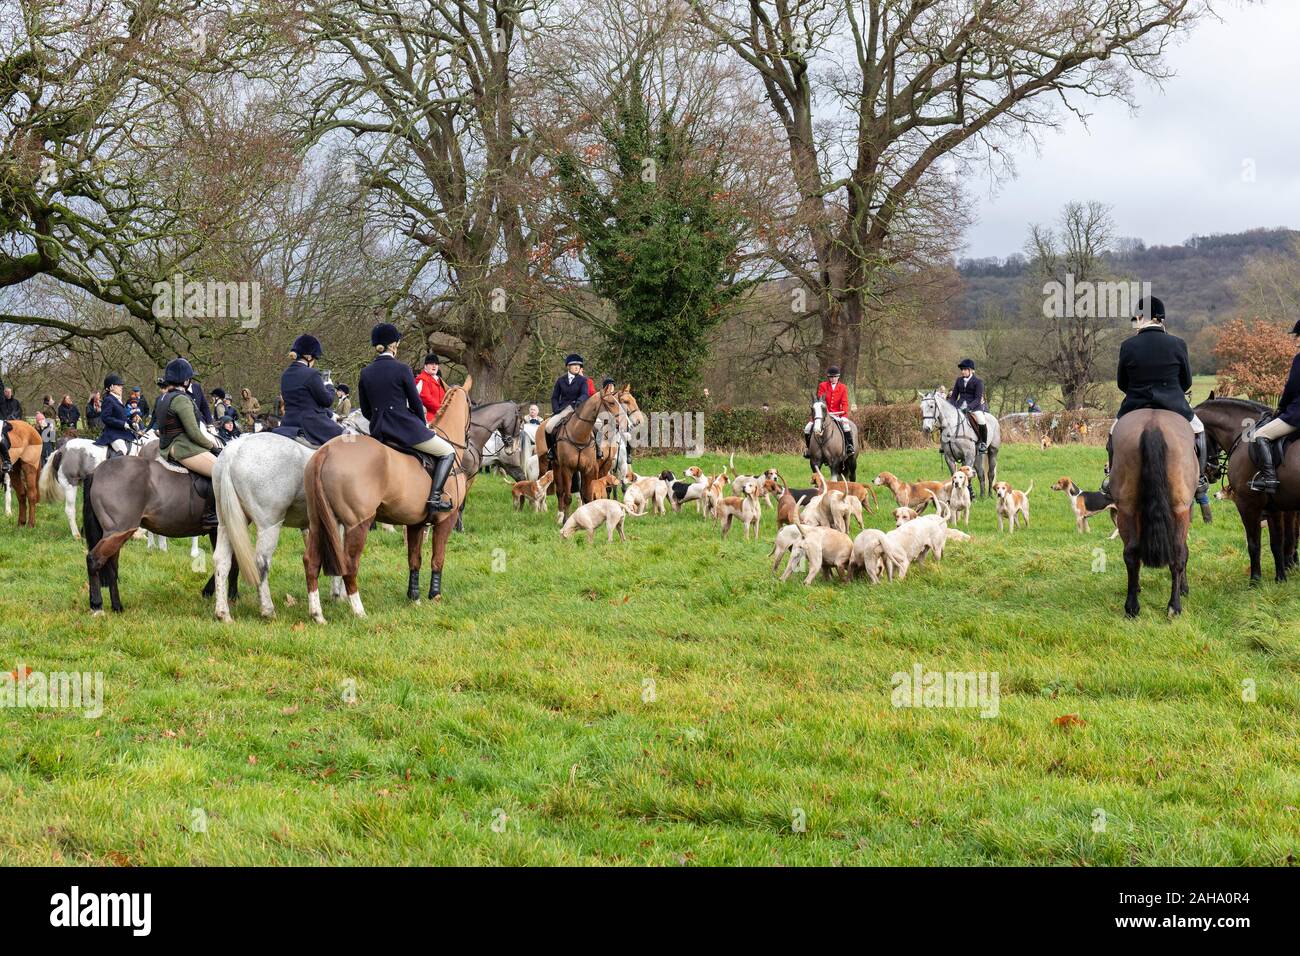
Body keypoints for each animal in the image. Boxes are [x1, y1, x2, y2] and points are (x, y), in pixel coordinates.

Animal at [81, 455, 244, 613]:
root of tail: (96, 471)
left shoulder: (216, 531)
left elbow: (224, 561)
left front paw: (211, 591)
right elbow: (233, 562)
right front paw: (232, 596)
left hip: (116, 535)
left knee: (111, 567)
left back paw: (117, 607)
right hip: (118, 531)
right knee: (94, 560)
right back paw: (97, 606)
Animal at [299, 374, 473, 621]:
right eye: (471, 405)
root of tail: (326, 451)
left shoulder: (415, 524)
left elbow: (414, 559)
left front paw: (414, 597)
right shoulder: (445, 521)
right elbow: (437, 558)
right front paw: (435, 596)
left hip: (318, 522)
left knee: (311, 562)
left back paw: (317, 615)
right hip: (358, 524)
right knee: (349, 565)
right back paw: (359, 611)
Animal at [533, 382, 624, 522]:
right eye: (611, 403)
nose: (623, 424)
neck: (579, 435)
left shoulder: (588, 469)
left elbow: (587, 494)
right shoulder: (567, 469)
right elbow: (568, 496)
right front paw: (566, 520)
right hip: (554, 465)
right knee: (559, 490)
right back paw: (558, 515)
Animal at [1107, 411, 1196, 621]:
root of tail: (1152, 426)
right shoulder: (1187, 509)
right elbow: (1185, 551)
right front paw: (1184, 588)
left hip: (1128, 509)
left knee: (1131, 554)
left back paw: (1132, 607)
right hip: (1180, 509)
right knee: (1178, 554)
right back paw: (1174, 607)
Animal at [1196, 395, 1300, 582]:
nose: (1212, 472)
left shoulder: (1247, 505)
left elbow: (1254, 543)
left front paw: (1255, 580)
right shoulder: (1273, 508)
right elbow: (1277, 542)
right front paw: (1281, 578)